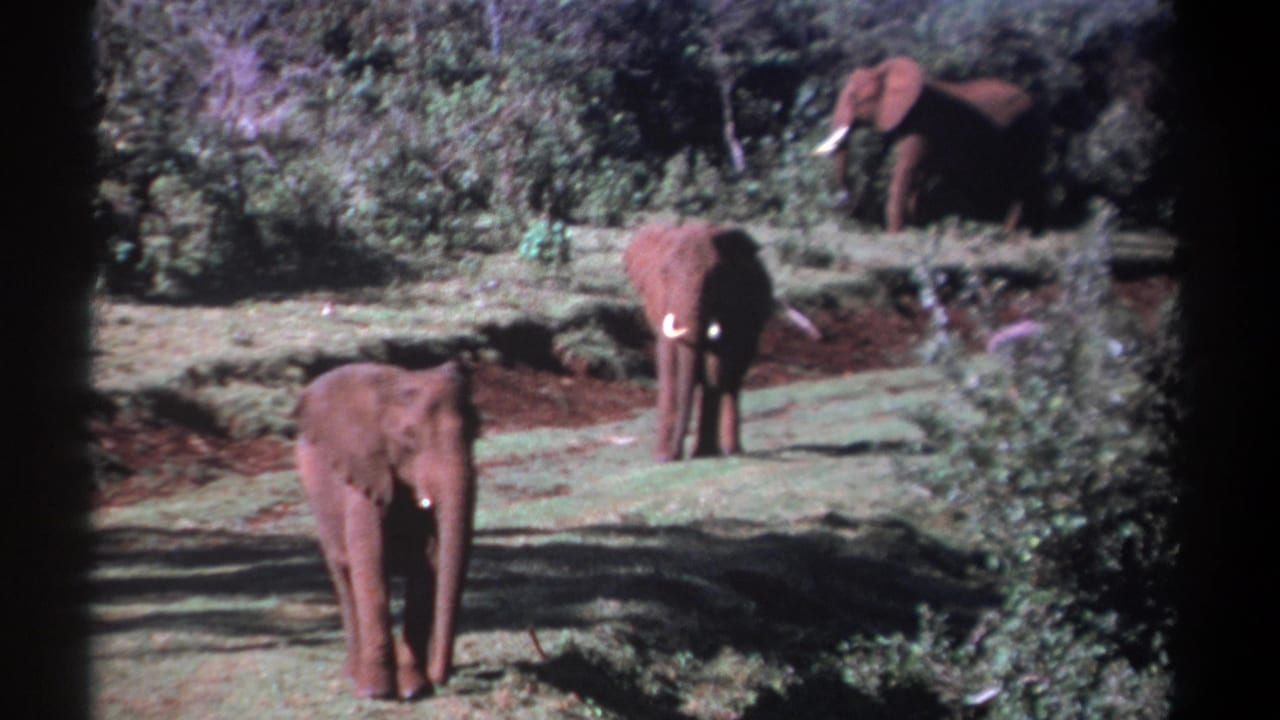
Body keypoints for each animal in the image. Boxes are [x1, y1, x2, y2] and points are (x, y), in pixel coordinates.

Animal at [294, 361, 479, 700]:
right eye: (409, 437)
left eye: (476, 432)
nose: (441, 678)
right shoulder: (363, 473)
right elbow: (371, 563)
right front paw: (376, 692)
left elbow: (427, 565)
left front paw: (414, 689)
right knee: (344, 576)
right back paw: (353, 676)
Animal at [623, 221, 774, 462]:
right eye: (664, 274)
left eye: (714, 277)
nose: (674, 455)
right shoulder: (659, 301)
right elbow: (669, 362)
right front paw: (662, 458)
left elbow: (717, 365)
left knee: (731, 373)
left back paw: (727, 450)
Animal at [812, 56, 1042, 232]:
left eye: (853, 97)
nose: (849, 203)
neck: (886, 70)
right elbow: (919, 175)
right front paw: (915, 227)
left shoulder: (922, 123)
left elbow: (906, 169)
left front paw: (896, 234)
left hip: (1028, 131)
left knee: (1022, 182)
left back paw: (1010, 234)